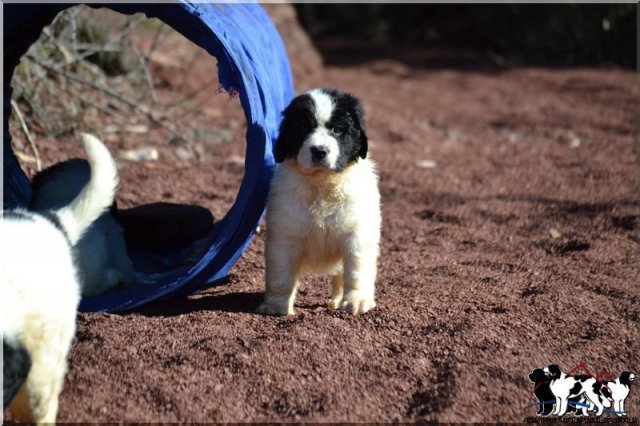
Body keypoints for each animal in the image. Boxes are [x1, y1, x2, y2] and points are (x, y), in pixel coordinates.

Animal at [256, 88, 381, 316]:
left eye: (338, 130)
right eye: (304, 128)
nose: (319, 151)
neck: (322, 184)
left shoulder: (357, 233)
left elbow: (356, 271)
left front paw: (357, 302)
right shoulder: (285, 234)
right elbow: (280, 275)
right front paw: (275, 306)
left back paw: (338, 301)